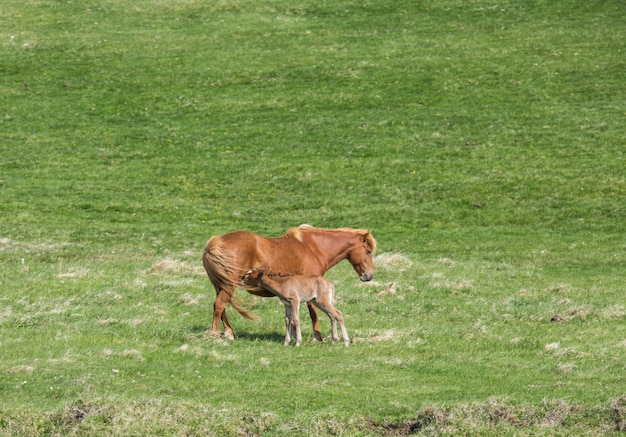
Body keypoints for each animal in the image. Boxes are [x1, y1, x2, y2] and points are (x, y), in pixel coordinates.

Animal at [202, 225, 376, 340]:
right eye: (368, 251)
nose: (369, 276)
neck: (315, 248)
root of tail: (215, 242)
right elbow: (314, 313)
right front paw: (317, 337)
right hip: (228, 286)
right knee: (219, 305)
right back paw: (217, 335)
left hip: (221, 286)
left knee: (221, 306)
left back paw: (229, 333)